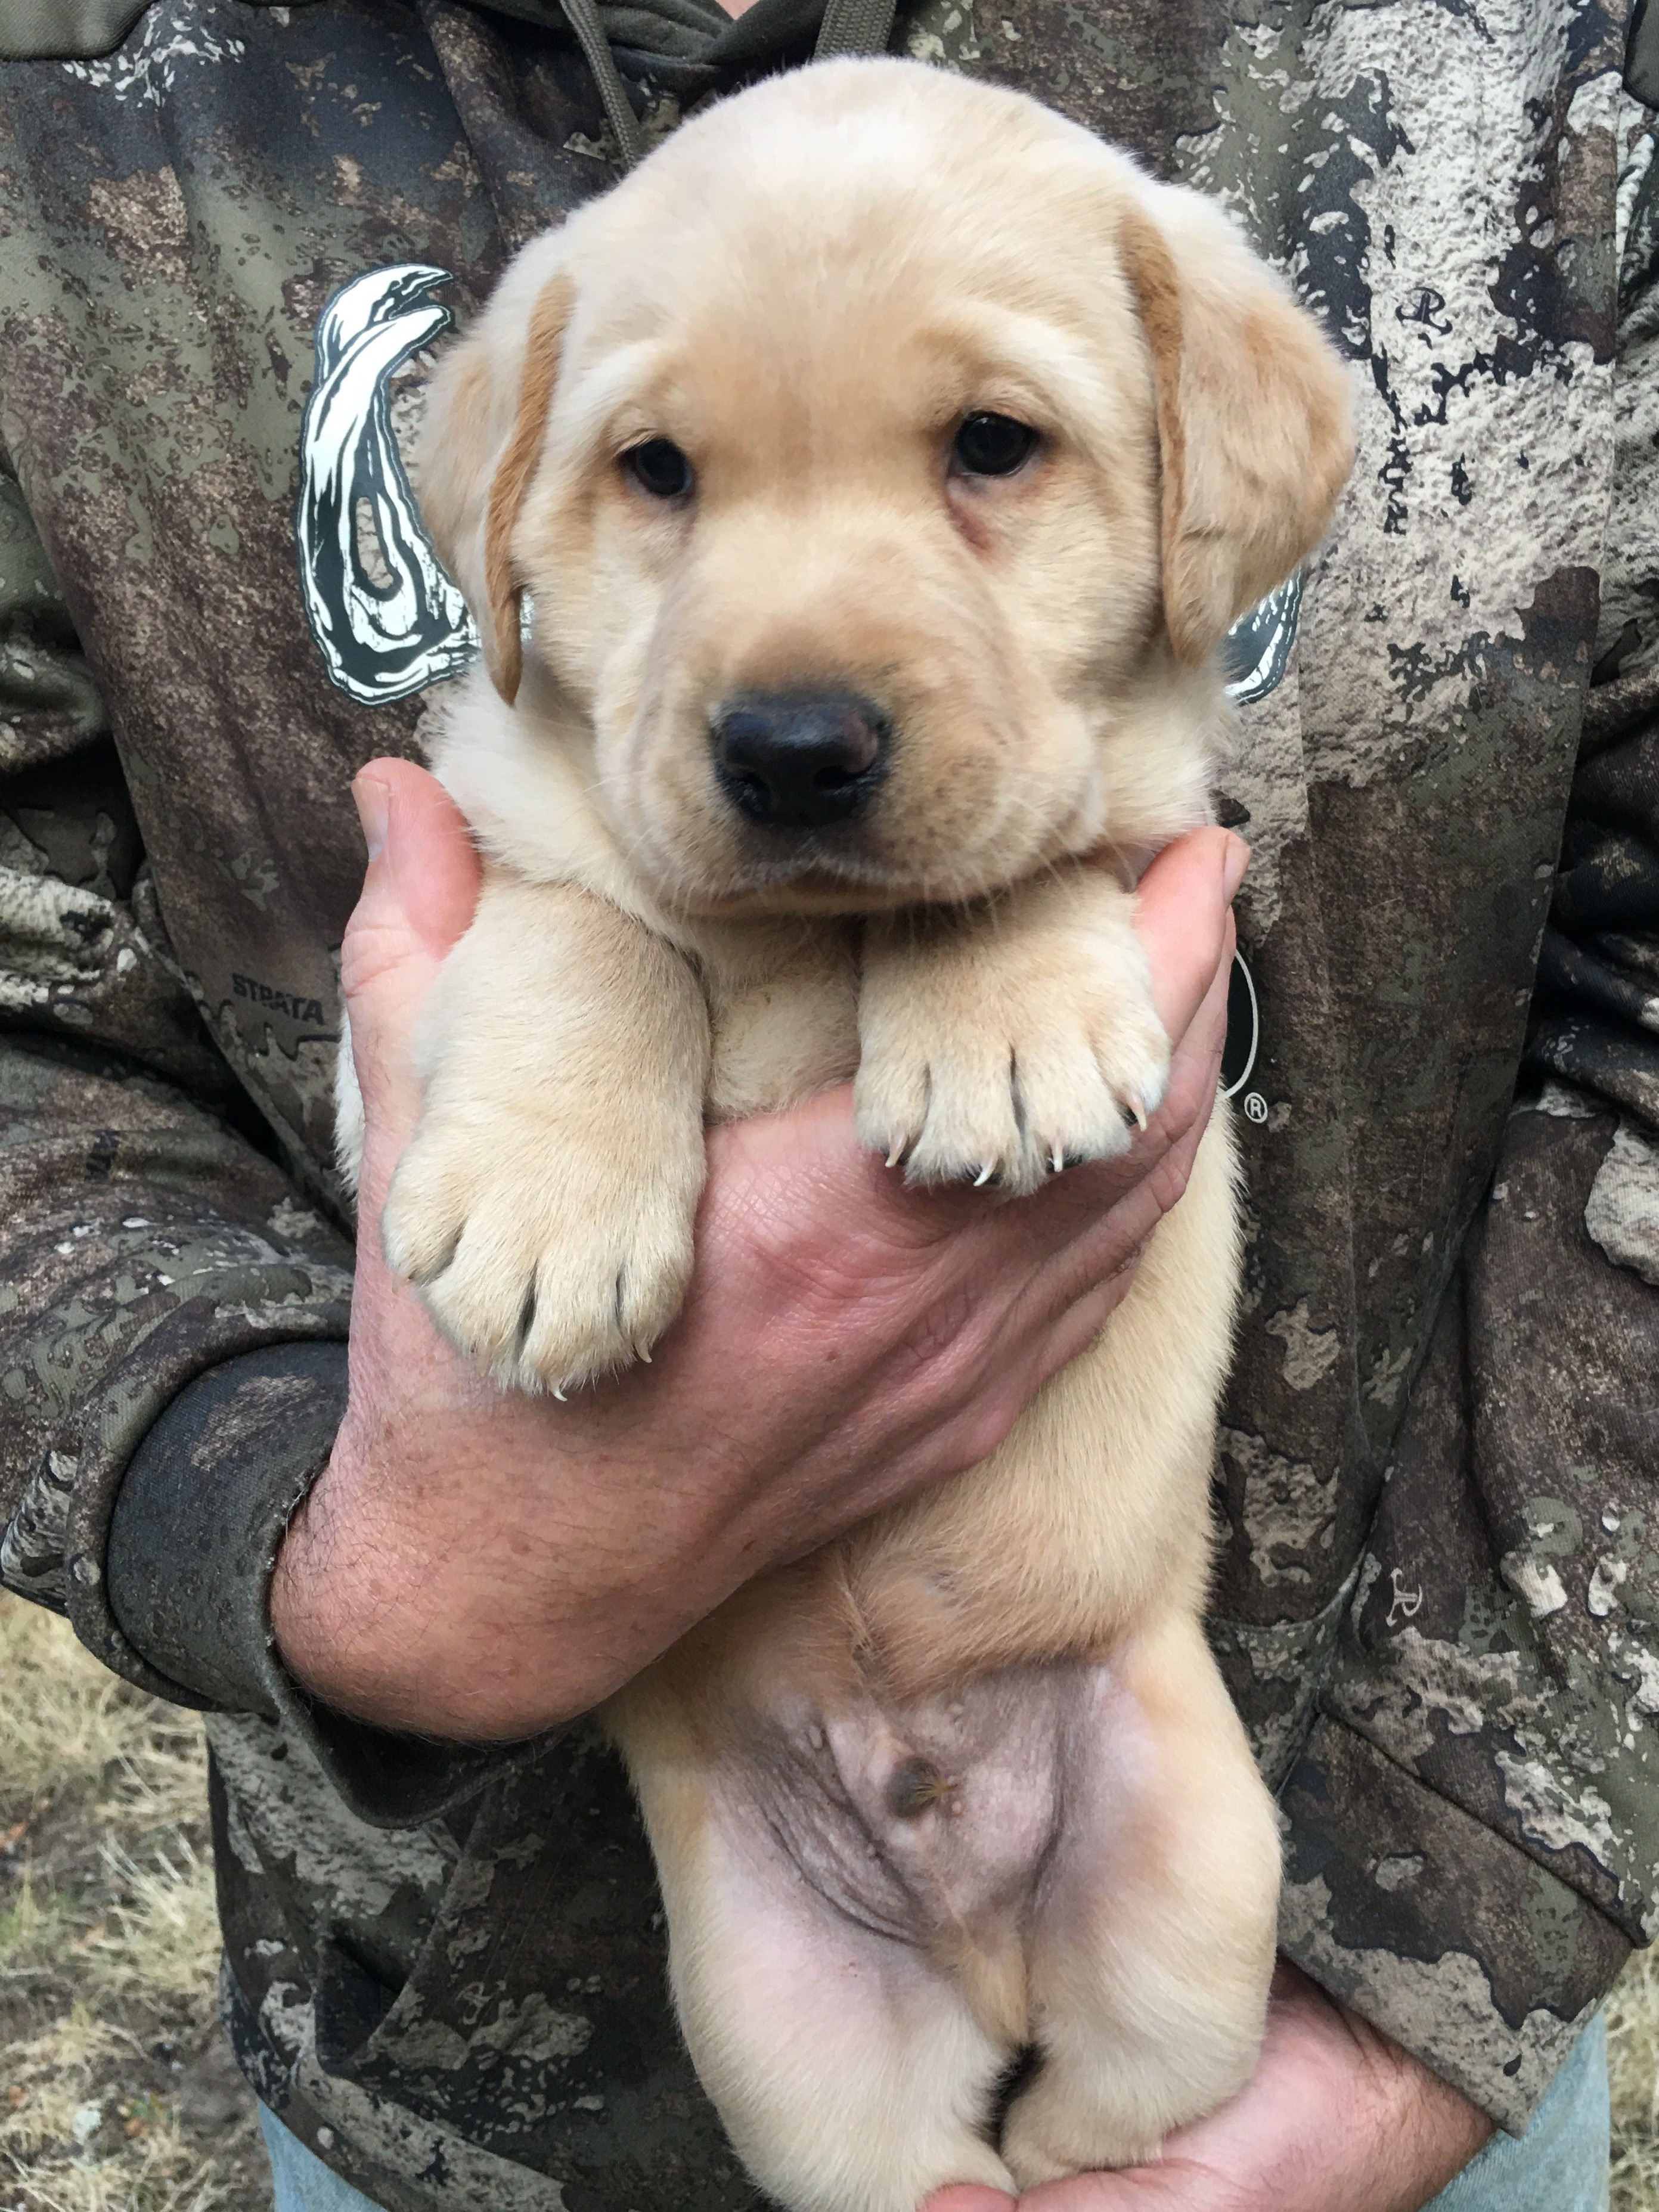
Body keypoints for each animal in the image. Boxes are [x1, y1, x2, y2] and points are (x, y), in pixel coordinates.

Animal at [367, 60, 1353, 2212]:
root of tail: (967, 1929)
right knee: (920, 2164)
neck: (806, 943)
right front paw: (548, 1208)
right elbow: (589, 932)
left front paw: (995, 1021)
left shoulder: (1153, 836)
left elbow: (1029, 851)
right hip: (783, 2041)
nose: (792, 748)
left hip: (1197, 1910)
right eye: (654, 471)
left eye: (993, 446)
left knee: (1090, 2125)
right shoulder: (491, 843)